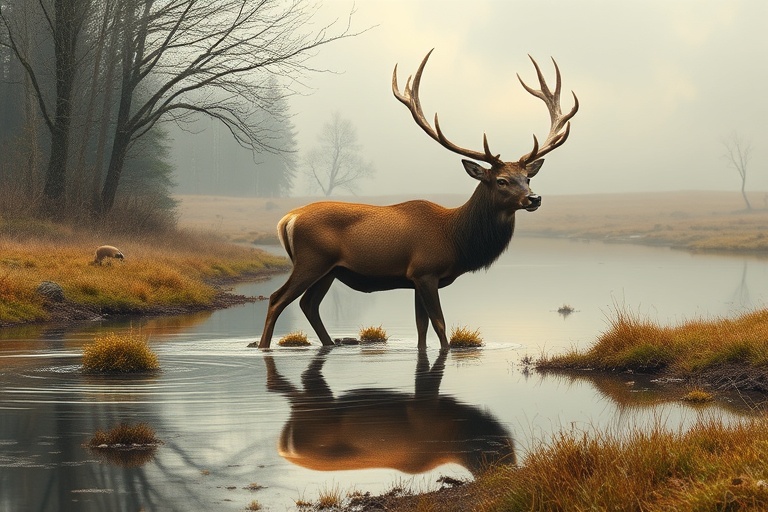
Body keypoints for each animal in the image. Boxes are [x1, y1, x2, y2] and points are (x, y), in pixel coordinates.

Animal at [250, 49, 578, 350]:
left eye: (527, 178)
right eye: (501, 181)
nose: (534, 198)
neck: (455, 239)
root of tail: (287, 219)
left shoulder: (414, 280)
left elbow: (422, 329)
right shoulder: (425, 271)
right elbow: (440, 326)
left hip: (330, 270)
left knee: (309, 304)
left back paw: (329, 343)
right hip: (311, 260)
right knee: (278, 299)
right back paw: (265, 346)